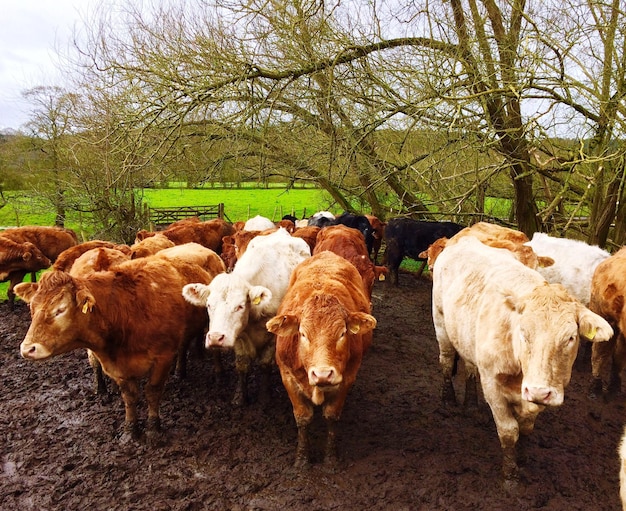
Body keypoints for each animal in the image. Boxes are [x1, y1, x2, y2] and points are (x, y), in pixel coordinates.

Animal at [15, 258, 214, 442]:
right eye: (31, 307)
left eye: (60, 310)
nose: (27, 349)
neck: (126, 311)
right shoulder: (117, 367)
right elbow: (129, 397)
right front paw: (130, 430)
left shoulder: (163, 357)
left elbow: (152, 391)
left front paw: (153, 429)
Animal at [180, 230, 310, 406]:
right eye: (208, 304)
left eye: (240, 306)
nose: (215, 338)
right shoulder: (239, 336)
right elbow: (242, 365)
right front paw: (240, 397)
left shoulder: (272, 337)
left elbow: (265, 365)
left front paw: (264, 397)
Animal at [264, 252, 376, 468]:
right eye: (303, 334)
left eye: (342, 333)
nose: (323, 374)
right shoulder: (287, 377)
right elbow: (302, 417)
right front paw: (302, 459)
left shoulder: (347, 378)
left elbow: (332, 415)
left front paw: (330, 459)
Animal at [432, 238, 612, 486]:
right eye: (523, 332)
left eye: (570, 337)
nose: (538, 391)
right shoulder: (493, 385)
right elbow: (509, 431)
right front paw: (510, 475)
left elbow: (526, 428)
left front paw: (523, 459)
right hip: (441, 322)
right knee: (447, 360)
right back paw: (448, 399)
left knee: (469, 367)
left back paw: (471, 404)